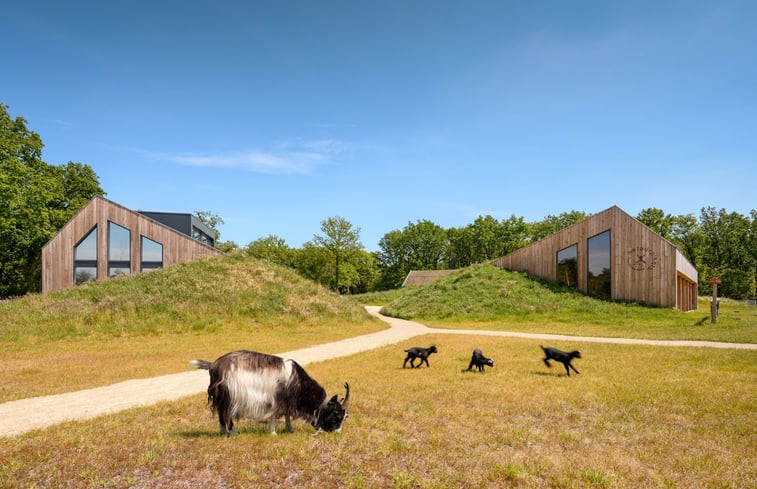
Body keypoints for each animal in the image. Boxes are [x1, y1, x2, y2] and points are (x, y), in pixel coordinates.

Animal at [193, 348, 350, 432]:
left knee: (221, 415)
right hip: (229, 396)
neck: (297, 382)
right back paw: (233, 432)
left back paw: (223, 432)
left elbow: (286, 414)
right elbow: (275, 415)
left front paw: (290, 429)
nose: (337, 432)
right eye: (336, 415)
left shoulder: (287, 401)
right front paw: (273, 432)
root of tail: (213, 365)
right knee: (226, 414)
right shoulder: (277, 399)